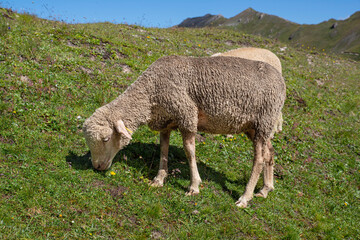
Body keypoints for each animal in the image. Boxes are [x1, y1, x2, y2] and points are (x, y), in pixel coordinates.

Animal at [83, 55, 286, 207]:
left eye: (106, 139)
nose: (97, 167)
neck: (151, 92)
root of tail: (281, 80)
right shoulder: (165, 121)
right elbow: (163, 150)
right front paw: (158, 179)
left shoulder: (187, 115)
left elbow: (189, 152)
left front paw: (194, 186)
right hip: (256, 127)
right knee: (270, 152)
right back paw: (265, 189)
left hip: (264, 120)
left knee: (258, 159)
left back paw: (245, 197)